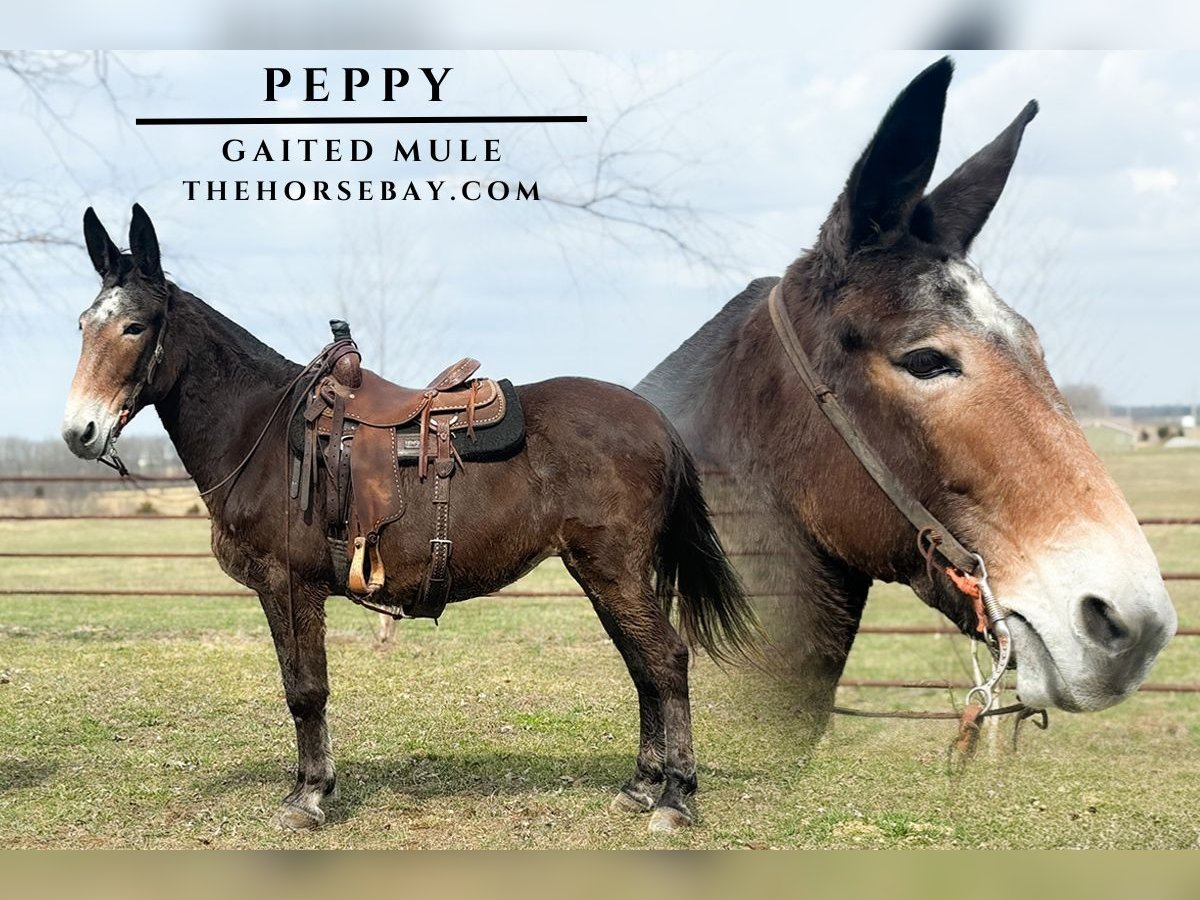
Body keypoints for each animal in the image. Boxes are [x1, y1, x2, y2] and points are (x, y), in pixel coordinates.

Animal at [60, 204, 758, 833]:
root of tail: (656, 420)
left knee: (667, 660)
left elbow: (306, 689)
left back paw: (675, 798)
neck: (266, 432)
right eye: (83, 324)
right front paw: (312, 785)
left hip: (614, 571)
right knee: (643, 666)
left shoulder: (290, 585)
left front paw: (308, 797)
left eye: (135, 326)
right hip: (606, 575)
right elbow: (296, 685)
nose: (78, 431)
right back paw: (641, 786)